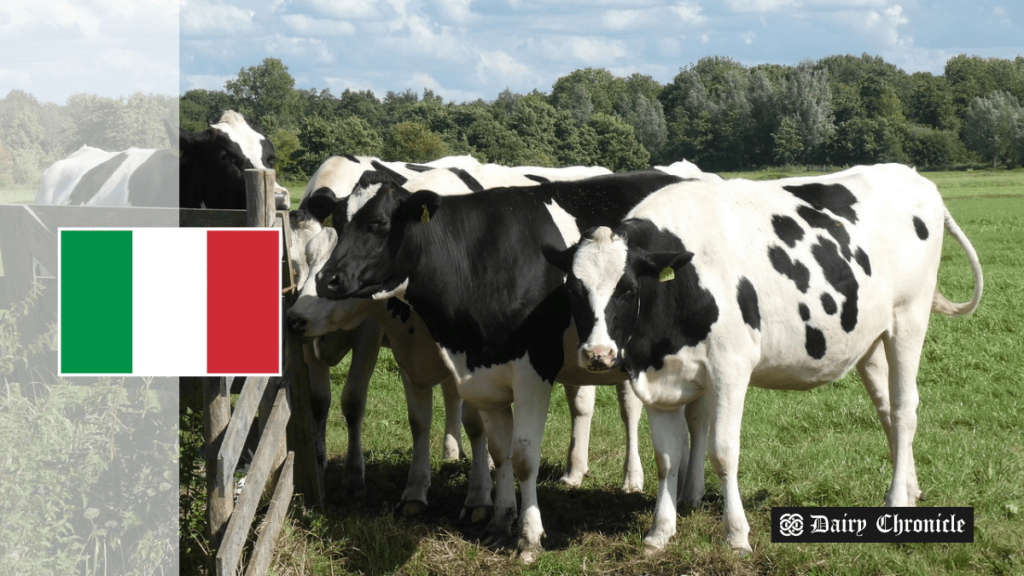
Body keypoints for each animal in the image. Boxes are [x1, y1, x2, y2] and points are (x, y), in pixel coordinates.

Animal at [315, 168, 688, 557]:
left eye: (379, 224)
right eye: (337, 224)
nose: (327, 279)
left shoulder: (533, 372)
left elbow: (524, 456)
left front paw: (529, 537)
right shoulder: (484, 374)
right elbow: (500, 450)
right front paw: (499, 521)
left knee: (640, 412)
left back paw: (638, 482)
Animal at [544, 161, 983, 553]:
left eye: (628, 289)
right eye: (573, 291)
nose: (598, 354)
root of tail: (911, 175)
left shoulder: (731, 368)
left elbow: (723, 452)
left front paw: (736, 535)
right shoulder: (657, 376)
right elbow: (666, 458)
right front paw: (659, 533)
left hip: (909, 318)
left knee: (906, 408)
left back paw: (896, 502)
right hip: (871, 340)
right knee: (888, 409)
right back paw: (909, 489)